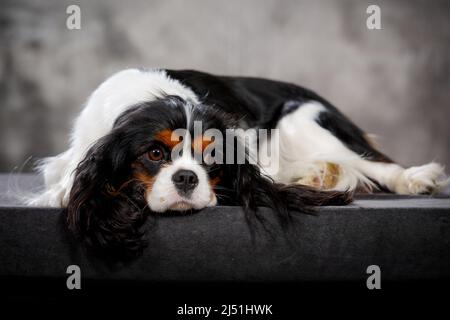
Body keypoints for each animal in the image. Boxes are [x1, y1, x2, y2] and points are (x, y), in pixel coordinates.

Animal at [29, 69, 448, 256]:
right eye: (155, 154)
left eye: (211, 156)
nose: (187, 178)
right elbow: (67, 185)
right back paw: (317, 175)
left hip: (302, 119)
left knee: (376, 163)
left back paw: (414, 179)